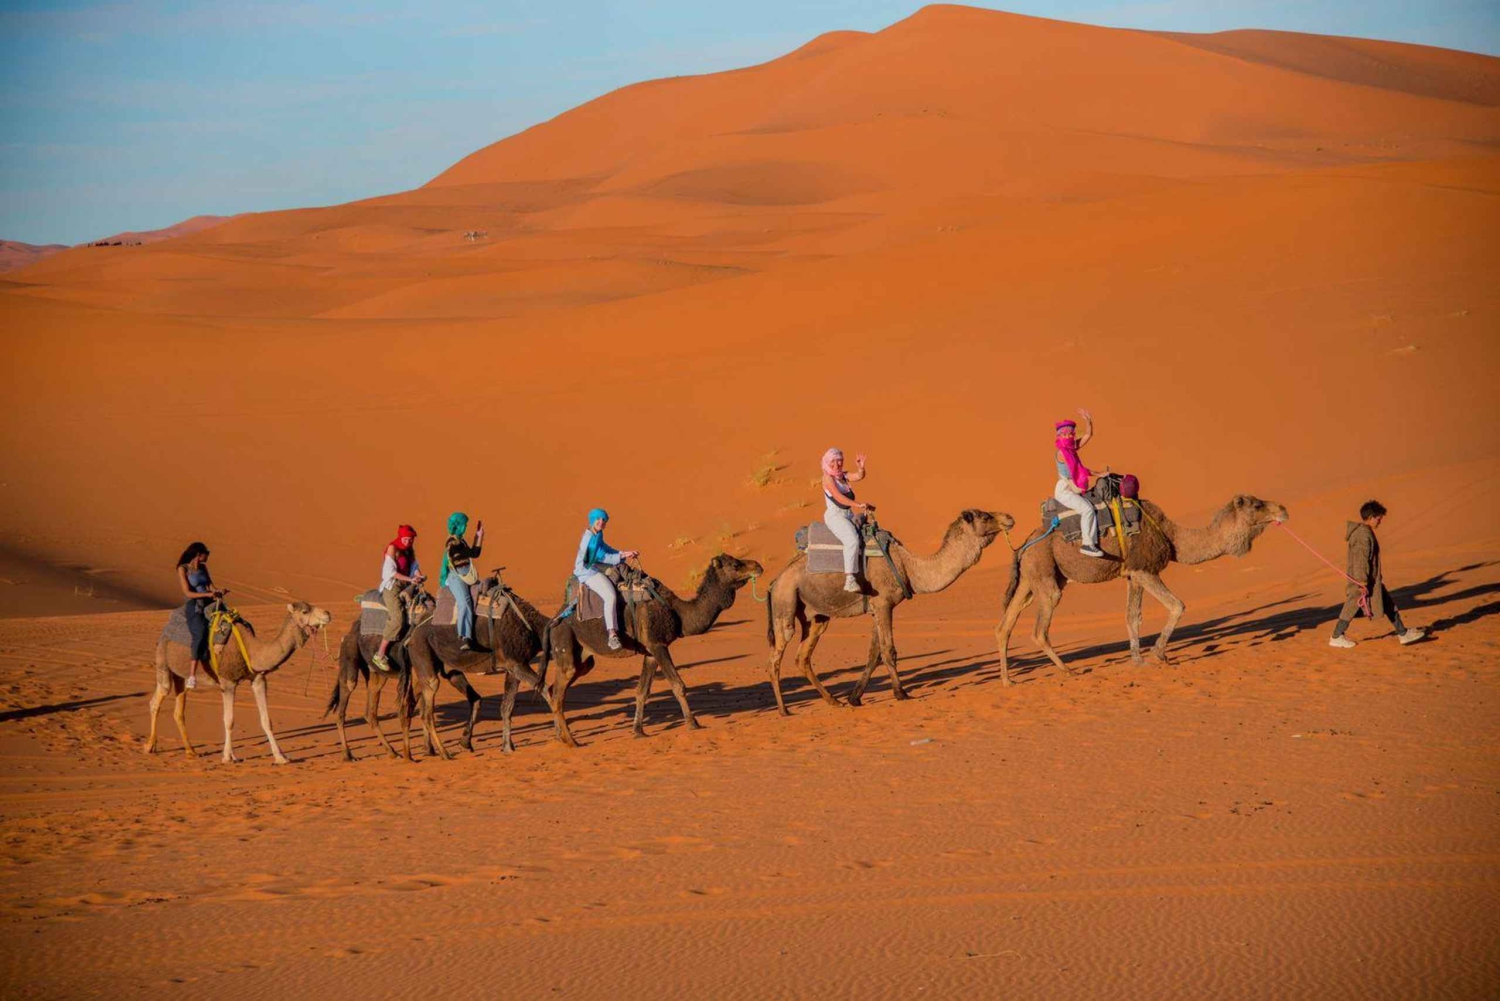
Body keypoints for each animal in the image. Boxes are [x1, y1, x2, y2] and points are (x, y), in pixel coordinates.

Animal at [145, 601, 333, 764]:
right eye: (305, 611)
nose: (327, 614)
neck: (251, 650)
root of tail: (163, 633)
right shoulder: (227, 682)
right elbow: (229, 720)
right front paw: (228, 757)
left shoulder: (258, 679)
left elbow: (266, 720)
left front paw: (281, 757)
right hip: (163, 662)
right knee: (157, 699)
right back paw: (149, 746)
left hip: (180, 676)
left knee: (178, 709)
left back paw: (191, 751)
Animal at [324, 580, 555, 760]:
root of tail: (353, 627)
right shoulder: (513, 662)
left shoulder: (501, 665)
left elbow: (493, 703)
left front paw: (464, 743)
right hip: (353, 656)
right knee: (345, 701)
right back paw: (349, 754)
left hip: (380, 674)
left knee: (372, 711)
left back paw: (396, 752)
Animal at [537, 554, 764, 747]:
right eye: (735, 565)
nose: (758, 566)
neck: (679, 613)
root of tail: (553, 622)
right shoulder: (658, 645)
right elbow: (678, 685)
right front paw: (693, 723)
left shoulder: (650, 652)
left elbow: (642, 691)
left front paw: (638, 731)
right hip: (565, 644)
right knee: (557, 694)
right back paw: (571, 741)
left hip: (583, 658)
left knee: (554, 689)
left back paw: (559, 736)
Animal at [765, 509, 1012, 713]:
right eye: (985, 516)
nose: (1009, 518)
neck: (909, 567)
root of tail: (774, 581)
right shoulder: (884, 603)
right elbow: (888, 651)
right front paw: (901, 693)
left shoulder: (877, 608)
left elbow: (874, 654)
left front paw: (855, 698)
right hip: (785, 601)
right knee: (775, 658)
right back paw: (783, 710)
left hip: (816, 616)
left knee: (803, 657)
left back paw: (833, 701)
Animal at [995, 494, 1289, 683]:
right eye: (1256, 504)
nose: (1283, 509)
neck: (1173, 537)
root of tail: (1024, 544)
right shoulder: (1145, 569)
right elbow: (1177, 605)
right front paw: (1159, 654)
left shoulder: (1132, 575)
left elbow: (1132, 617)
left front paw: (1137, 660)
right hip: (1045, 574)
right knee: (1039, 629)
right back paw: (1068, 671)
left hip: (1031, 577)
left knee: (1005, 624)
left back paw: (1008, 680)